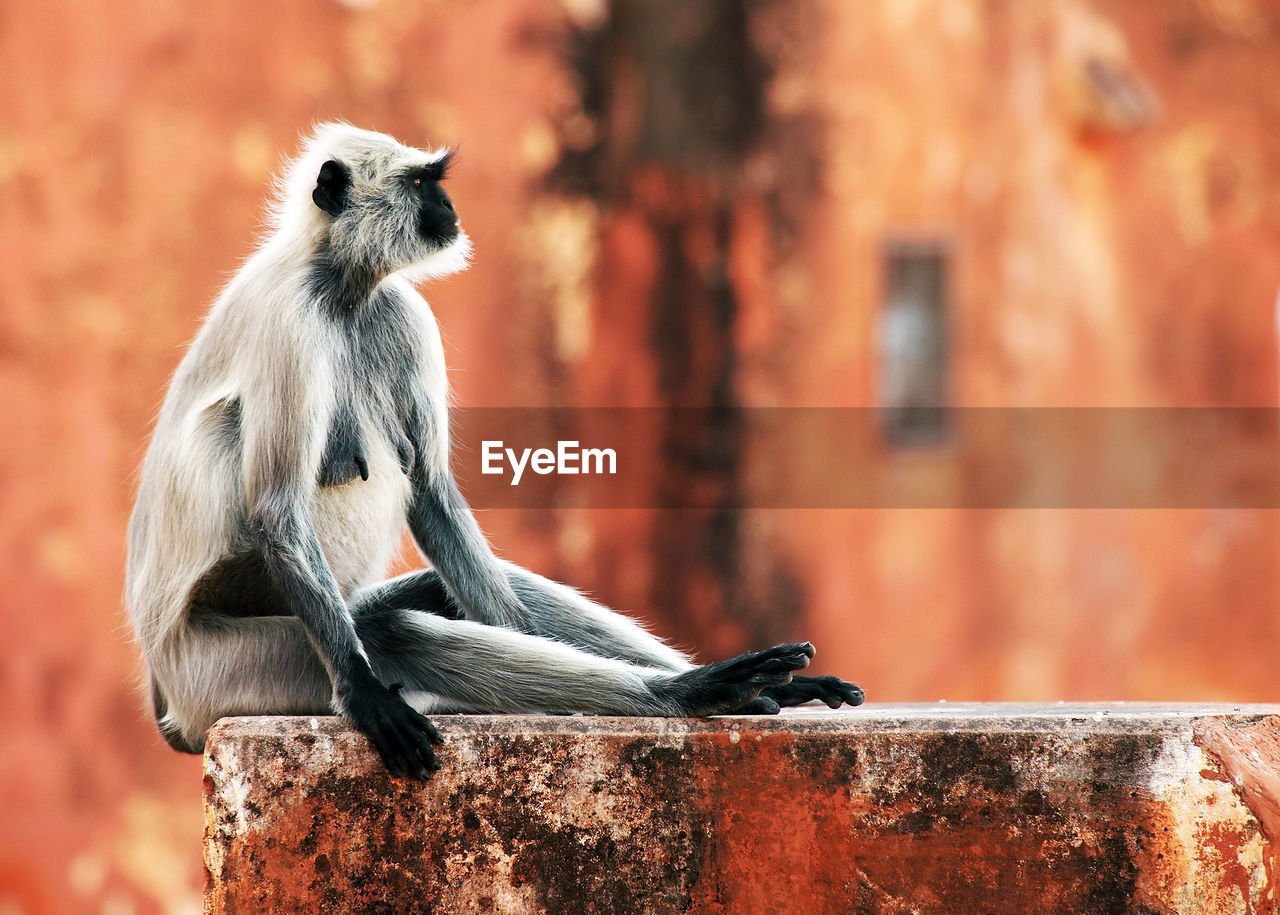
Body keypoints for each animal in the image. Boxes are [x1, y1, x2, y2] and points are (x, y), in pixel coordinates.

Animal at [124, 123, 865, 778]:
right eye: (419, 182)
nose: (447, 207)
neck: (340, 285)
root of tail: (168, 697)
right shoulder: (291, 321)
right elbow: (279, 506)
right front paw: (363, 695)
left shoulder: (400, 312)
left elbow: (429, 490)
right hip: (220, 667)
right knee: (393, 630)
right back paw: (686, 693)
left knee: (435, 598)